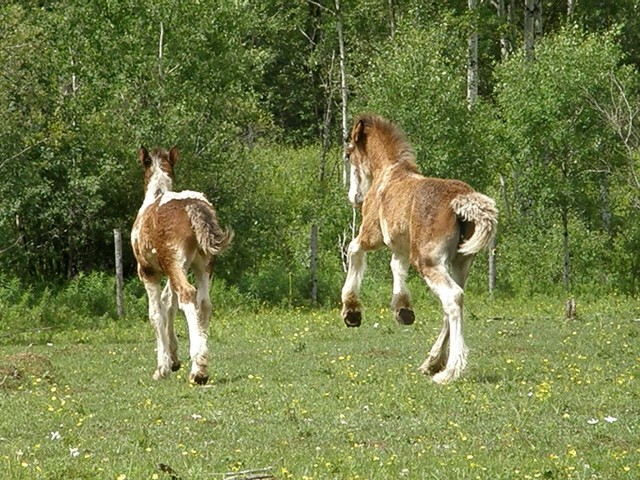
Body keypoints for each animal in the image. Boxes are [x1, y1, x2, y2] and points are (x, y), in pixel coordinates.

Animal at [131, 144, 232, 384]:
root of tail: (192, 205)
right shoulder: (174, 270)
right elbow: (169, 303)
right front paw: (174, 359)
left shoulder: (148, 272)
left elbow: (156, 313)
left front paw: (162, 368)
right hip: (202, 266)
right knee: (203, 303)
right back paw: (200, 365)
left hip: (174, 265)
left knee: (187, 295)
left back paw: (198, 369)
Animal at [340, 114, 500, 384]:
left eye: (348, 154)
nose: (355, 198)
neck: (388, 173)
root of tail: (461, 200)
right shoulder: (401, 246)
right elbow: (396, 266)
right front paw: (402, 309)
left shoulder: (372, 235)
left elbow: (353, 249)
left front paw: (351, 311)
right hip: (460, 262)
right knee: (453, 302)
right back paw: (432, 362)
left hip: (428, 261)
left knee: (453, 298)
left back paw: (449, 371)